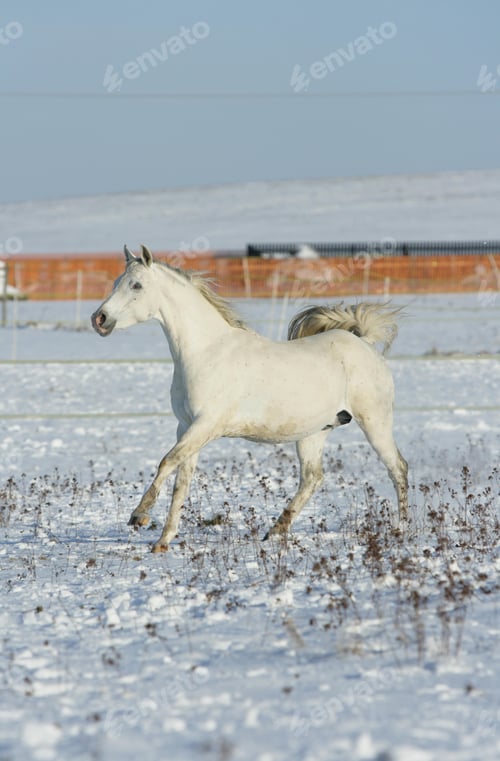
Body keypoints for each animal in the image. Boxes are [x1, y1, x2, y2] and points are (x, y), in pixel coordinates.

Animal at [91, 244, 408, 553]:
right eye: (117, 282)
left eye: (136, 285)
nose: (99, 319)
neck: (205, 352)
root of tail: (364, 343)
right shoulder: (186, 427)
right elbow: (182, 482)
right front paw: (163, 541)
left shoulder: (205, 426)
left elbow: (166, 463)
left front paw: (140, 516)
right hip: (314, 433)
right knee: (312, 479)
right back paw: (276, 531)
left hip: (375, 422)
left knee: (397, 468)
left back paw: (402, 530)